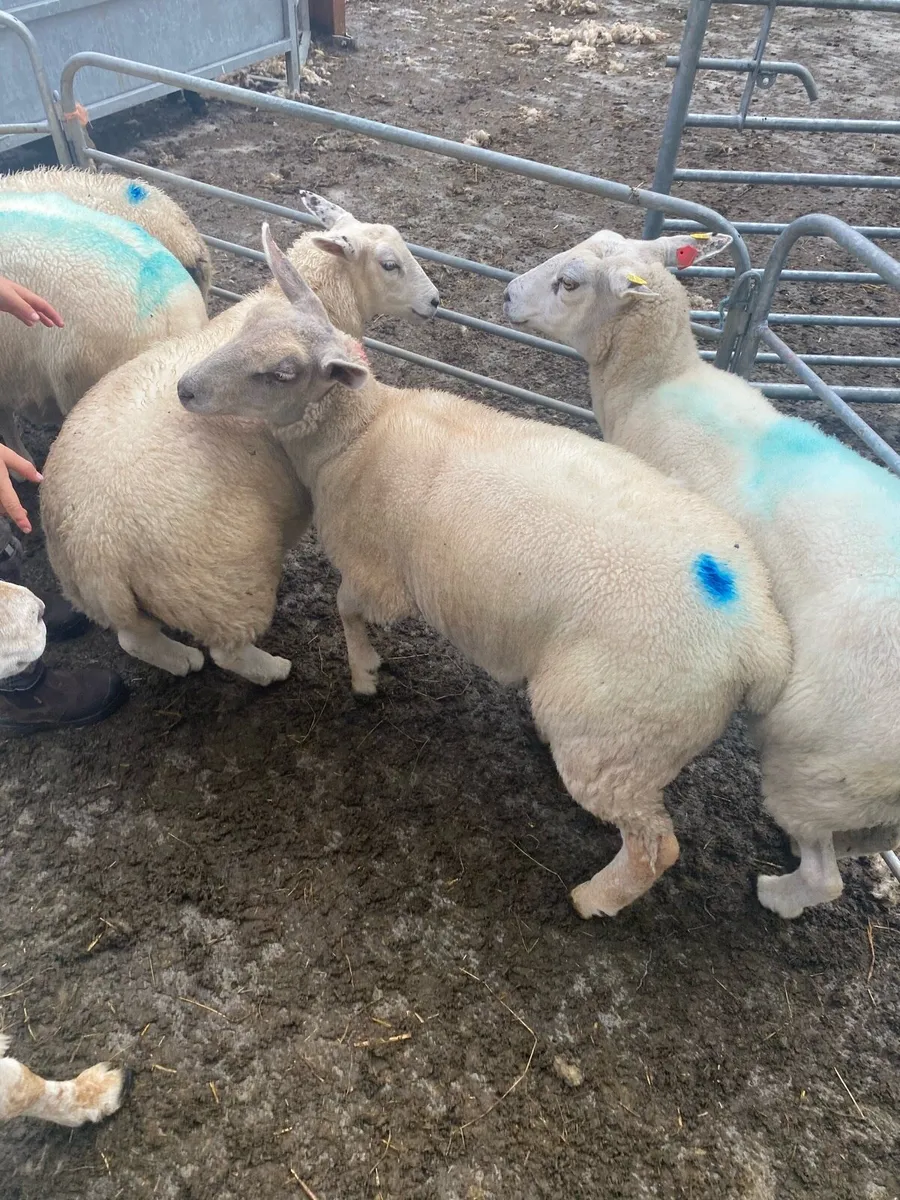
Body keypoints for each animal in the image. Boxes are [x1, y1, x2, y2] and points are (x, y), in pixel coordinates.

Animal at [40, 195, 438, 685]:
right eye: (389, 264)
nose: (435, 301)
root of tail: (93, 547)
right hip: (221, 588)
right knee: (226, 651)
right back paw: (269, 669)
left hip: (116, 600)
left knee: (134, 638)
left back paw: (176, 659)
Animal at [175, 236, 791, 918]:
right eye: (247, 328)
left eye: (282, 372)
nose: (184, 389)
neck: (361, 431)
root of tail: (761, 643)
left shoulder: (379, 573)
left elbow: (344, 608)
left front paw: (364, 675)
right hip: (634, 738)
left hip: (614, 730)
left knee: (657, 846)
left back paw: (594, 899)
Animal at [503, 229, 900, 918]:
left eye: (570, 283)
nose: (505, 294)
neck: (657, 384)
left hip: (814, 760)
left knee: (825, 875)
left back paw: (778, 894)